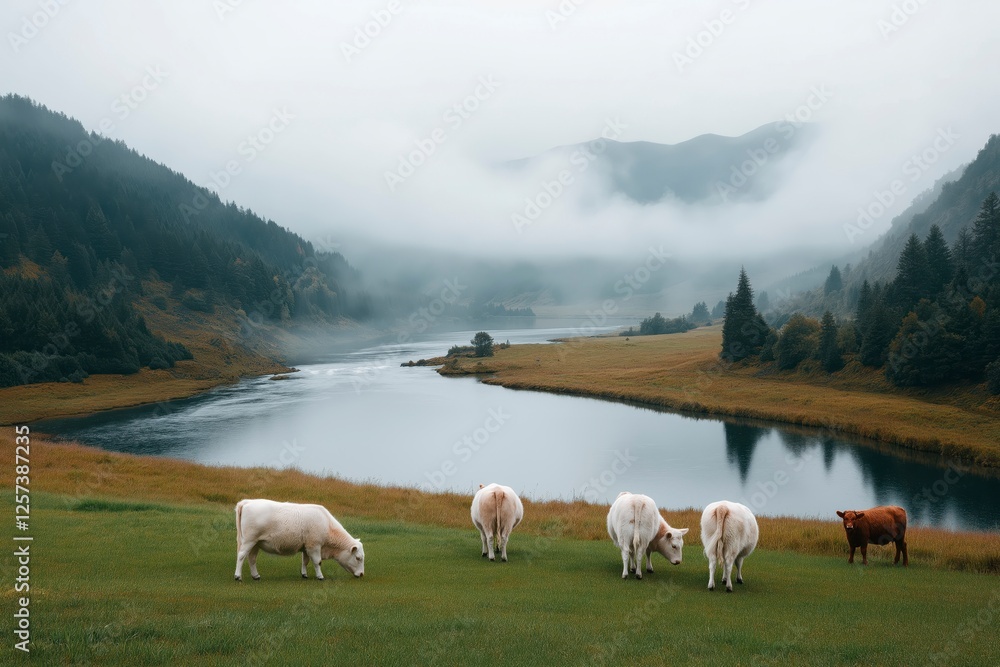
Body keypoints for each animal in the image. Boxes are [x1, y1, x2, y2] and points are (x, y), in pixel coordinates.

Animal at [234, 499, 364, 582]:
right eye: (358, 558)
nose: (362, 574)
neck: (327, 525)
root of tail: (247, 502)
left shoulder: (306, 547)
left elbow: (305, 561)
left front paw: (304, 574)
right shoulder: (314, 546)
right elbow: (317, 562)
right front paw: (320, 576)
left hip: (256, 544)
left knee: (252, 559)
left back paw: (256, 576)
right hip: (249, 541)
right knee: (241, 556)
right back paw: (238, 576)